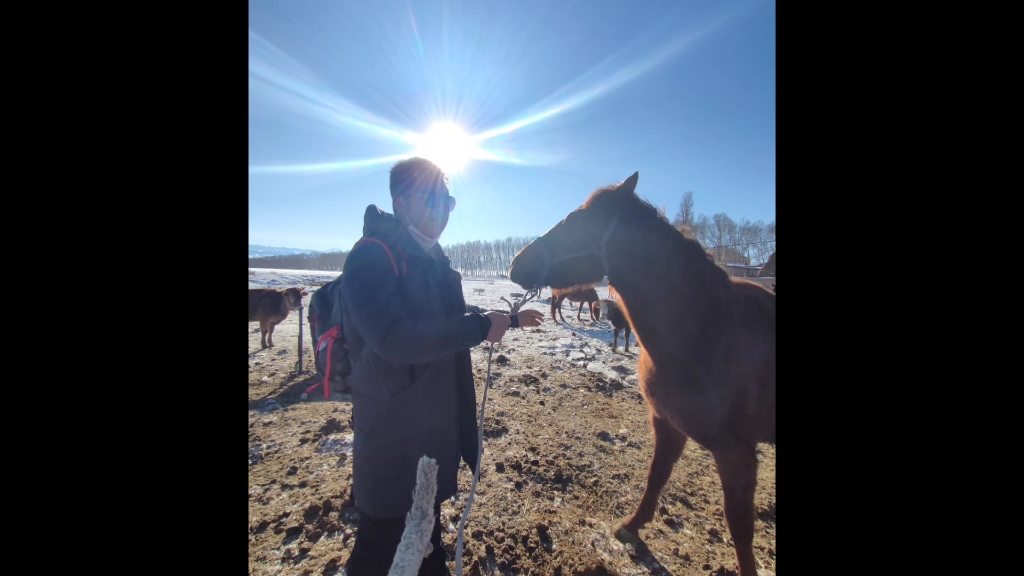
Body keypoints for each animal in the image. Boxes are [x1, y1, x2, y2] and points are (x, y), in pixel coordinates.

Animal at [507, 170, 770, 573]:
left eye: (579, 221)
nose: (516, 264)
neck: (707, 332)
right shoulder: (667, 424)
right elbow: (656, 477)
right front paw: (632, 527)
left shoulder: (737, 454)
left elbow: (740, 526)